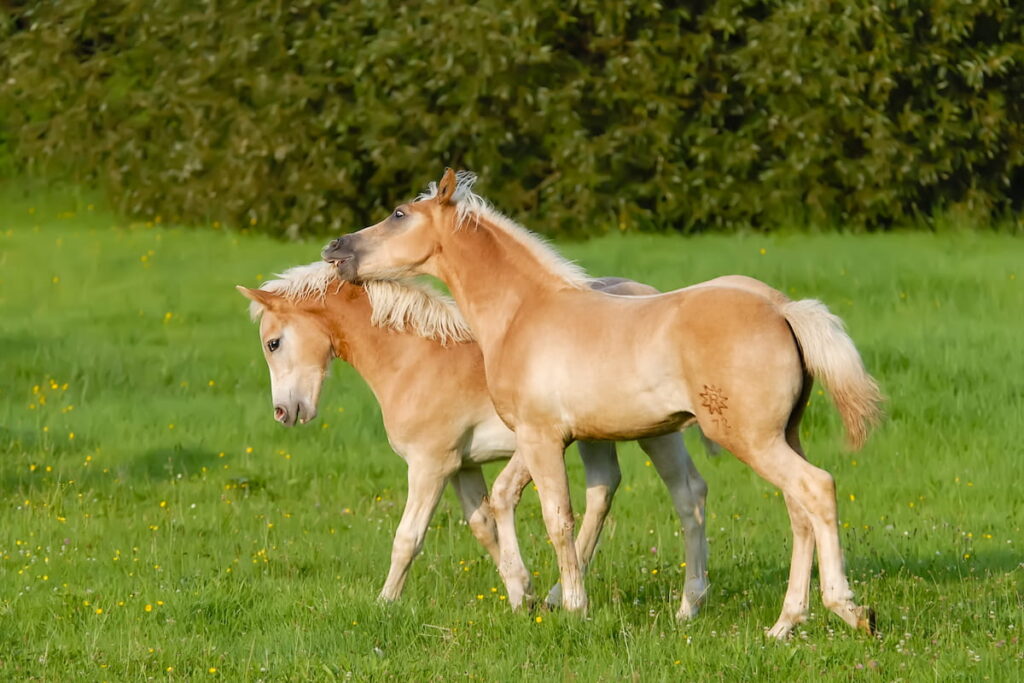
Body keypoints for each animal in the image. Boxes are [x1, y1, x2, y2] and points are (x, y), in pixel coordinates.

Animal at [240, 264, 716, 614]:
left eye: (273, 343)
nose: (284, 413)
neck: (416, 358)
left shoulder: (430, 465)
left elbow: (407, 538)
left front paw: (384, 604)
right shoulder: (462, 466)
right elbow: (483, 525)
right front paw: (522, 593)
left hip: (654, 433)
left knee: (682, 491)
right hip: (598, 435)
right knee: (608, 489)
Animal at [323, 167, 884, 638]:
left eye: (399, 214)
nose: (335, 248)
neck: (522, 312)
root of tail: (782, 308)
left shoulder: (541, 438)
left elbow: (556, 517)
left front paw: (570, 605)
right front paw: (540, 596)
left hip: (751, 439)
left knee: (817, 489)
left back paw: (848, 610)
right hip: (780, 435)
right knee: (795, 510)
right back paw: (783, 624)